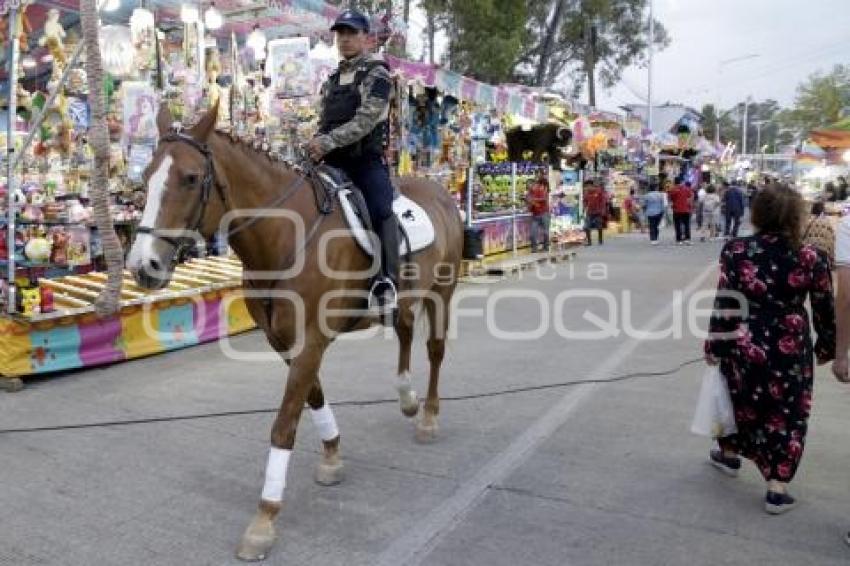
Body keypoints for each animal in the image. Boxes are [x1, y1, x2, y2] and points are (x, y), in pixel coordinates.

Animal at [122, 103, 460, 564]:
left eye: (190, 178)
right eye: (146, 175)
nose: (144, 267)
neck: (286, 235)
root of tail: (440, 191)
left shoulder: (310, 342)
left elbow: (284, 424)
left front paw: (264, 519)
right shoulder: (283, 342)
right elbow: (312, 397)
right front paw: (332, 455)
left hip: (442, 293)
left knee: (435, 349)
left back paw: (427, 416)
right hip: (407, 298)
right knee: (406, 333)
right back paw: (407, 398)